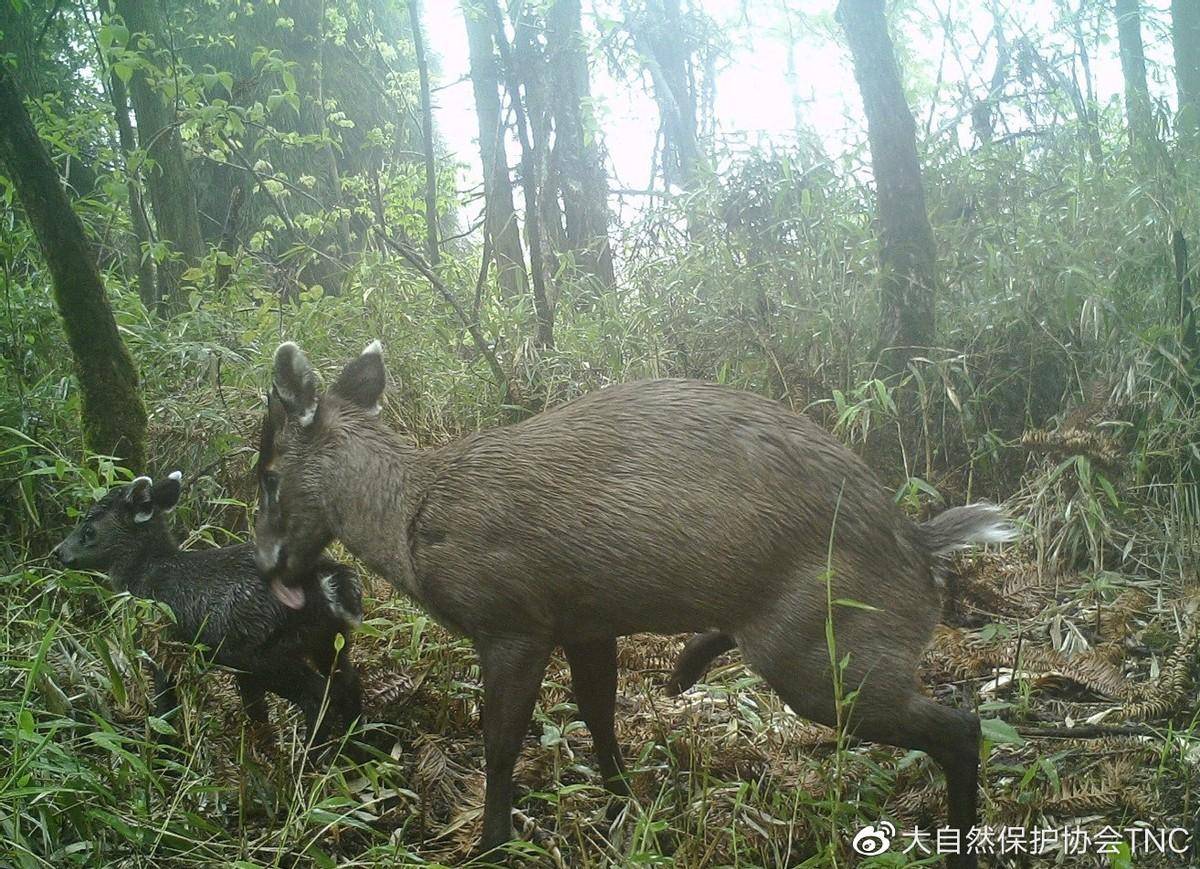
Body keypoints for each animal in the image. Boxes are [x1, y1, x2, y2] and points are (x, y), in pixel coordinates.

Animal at [56, 472, 362, 744]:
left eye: (88, 530)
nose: (59, 552)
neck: (146, 575)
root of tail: (328, 580)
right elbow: (256, 712)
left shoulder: (162, 645)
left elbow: (165, 704)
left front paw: (165, 748)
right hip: (327, 639)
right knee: (349, 683)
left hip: (266, 651)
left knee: (318, 695)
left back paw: (308, 758)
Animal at [255, 338, 1012, 864]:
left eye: (265, 473)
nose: (265, 566)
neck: (413, 521)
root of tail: (920, 545)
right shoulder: (585, 620)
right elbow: (600, 716)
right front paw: (625, 805)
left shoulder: (512, 619)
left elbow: (500, 743)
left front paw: (491, 847)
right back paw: (686, 668)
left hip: (827, 649)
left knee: (960, 725)